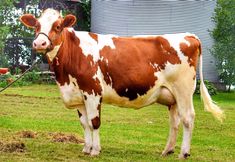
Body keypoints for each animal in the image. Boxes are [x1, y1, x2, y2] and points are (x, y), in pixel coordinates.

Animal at [20, 8, 224, 158]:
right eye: (36, 25)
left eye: (57, 26)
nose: (39, 43)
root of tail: (189, 35)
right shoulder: (79, 96)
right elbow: (84, 123)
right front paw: (86, 148)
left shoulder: (93, 92)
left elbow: (94, 122)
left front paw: (95, 150)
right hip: (171, 95)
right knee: (175, 122)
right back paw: (167, 150)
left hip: (184, 90)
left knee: (188, 118)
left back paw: (184, 153)